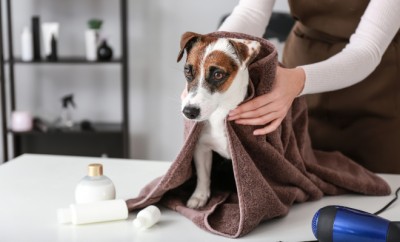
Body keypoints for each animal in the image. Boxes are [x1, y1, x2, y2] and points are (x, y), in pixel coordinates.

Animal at [177, 31, 260, 208]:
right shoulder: (201, 147)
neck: (220, 113)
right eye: (188, 71)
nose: (189, 111)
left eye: (218, 74)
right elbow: (203, 175)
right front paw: (199, 196)